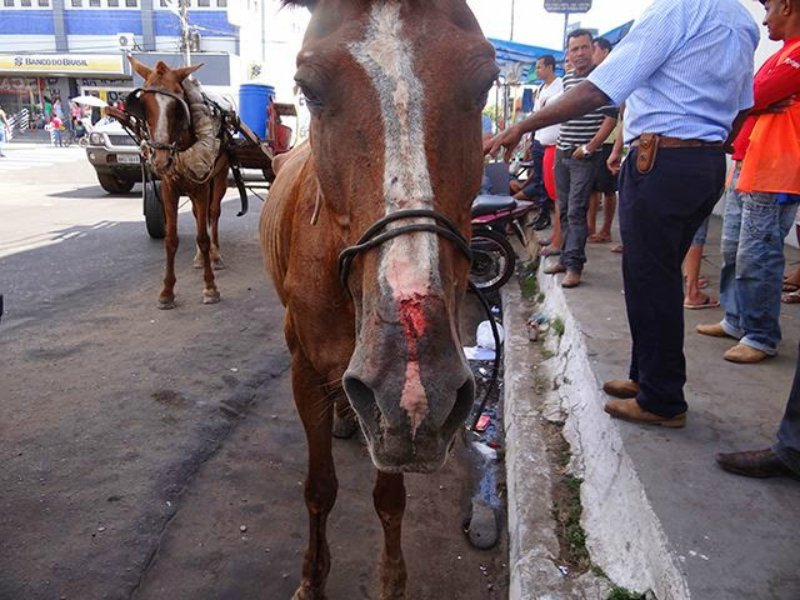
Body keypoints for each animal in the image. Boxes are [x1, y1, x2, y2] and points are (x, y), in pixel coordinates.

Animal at [126, 57, 230, 310]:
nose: (161, 160)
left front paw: (210, 287)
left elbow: (203, 236)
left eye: (177, 106)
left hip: (219, 176)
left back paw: (215, 255)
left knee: (214, 213)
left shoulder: (202, 187)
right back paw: (200, 258)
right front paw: (167, 291)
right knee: (197, 215)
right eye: (144, 104)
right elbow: (171, 239)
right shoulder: (169, 188)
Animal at [262, 2, 496, 596]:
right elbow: (319, 489)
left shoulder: (399, 420)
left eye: (486, 82)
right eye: (307, 88)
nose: (414, 383)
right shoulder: (305, 370)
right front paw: (311, 581)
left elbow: (390, 498)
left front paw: (392, 580)